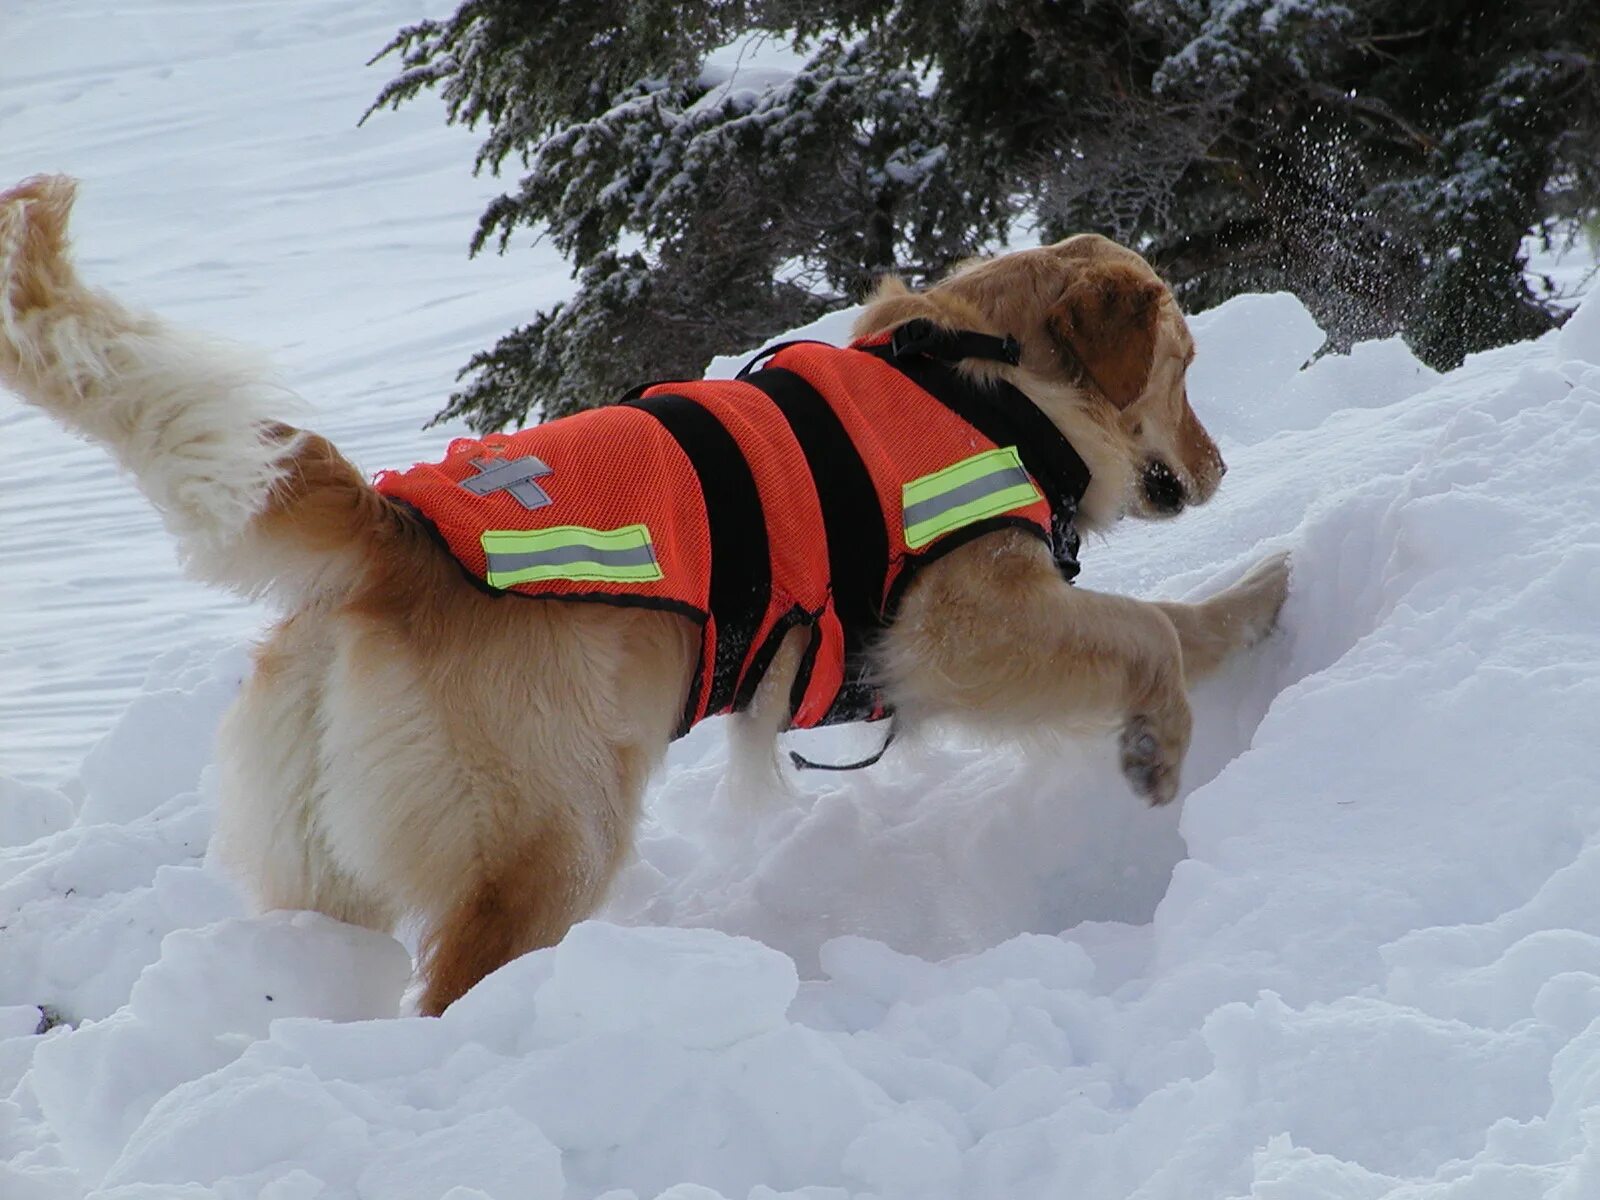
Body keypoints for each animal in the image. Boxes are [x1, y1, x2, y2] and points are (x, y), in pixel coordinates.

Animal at [0, 173, 1286, 1011]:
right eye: (1183, 369)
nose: (1221, 469)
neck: (991, 388)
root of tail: (393, 528)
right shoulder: (949, 630)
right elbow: (1144, 629)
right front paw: (1161, 739)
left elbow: (1173, 619)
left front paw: (1255, 605)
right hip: (551, 832)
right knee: (456, 984)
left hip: (329, 861)